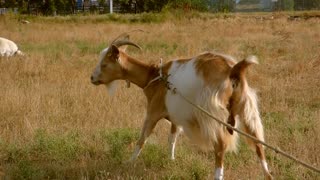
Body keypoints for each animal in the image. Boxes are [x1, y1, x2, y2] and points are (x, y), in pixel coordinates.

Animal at [90, 35, 272, 180]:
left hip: (213, 114)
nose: (92, 78)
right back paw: (267, 175)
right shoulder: (176, 117)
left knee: (220, 147)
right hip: (247, 110)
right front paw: (171, 161)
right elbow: (172, 138)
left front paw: (129, 162)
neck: (155, 76)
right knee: (258, 145)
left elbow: (142, 138)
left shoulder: (153, 112)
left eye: (104, 64)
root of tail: (232, 69)